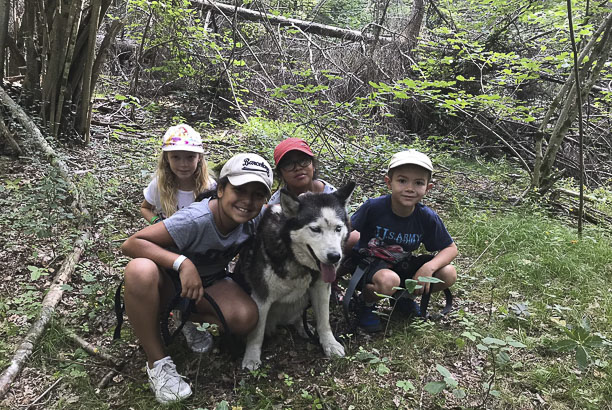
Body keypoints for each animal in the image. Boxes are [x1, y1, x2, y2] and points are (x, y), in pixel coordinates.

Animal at [238, 181, 354, 370]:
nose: (335, 257)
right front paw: (251, 357)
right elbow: (257, 334)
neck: (295, 259)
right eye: (315, 229)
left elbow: (324, 321)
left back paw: (304, 328)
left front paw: (329, 343)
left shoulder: (321, 287)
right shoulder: (261, 296)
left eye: (338, 228)